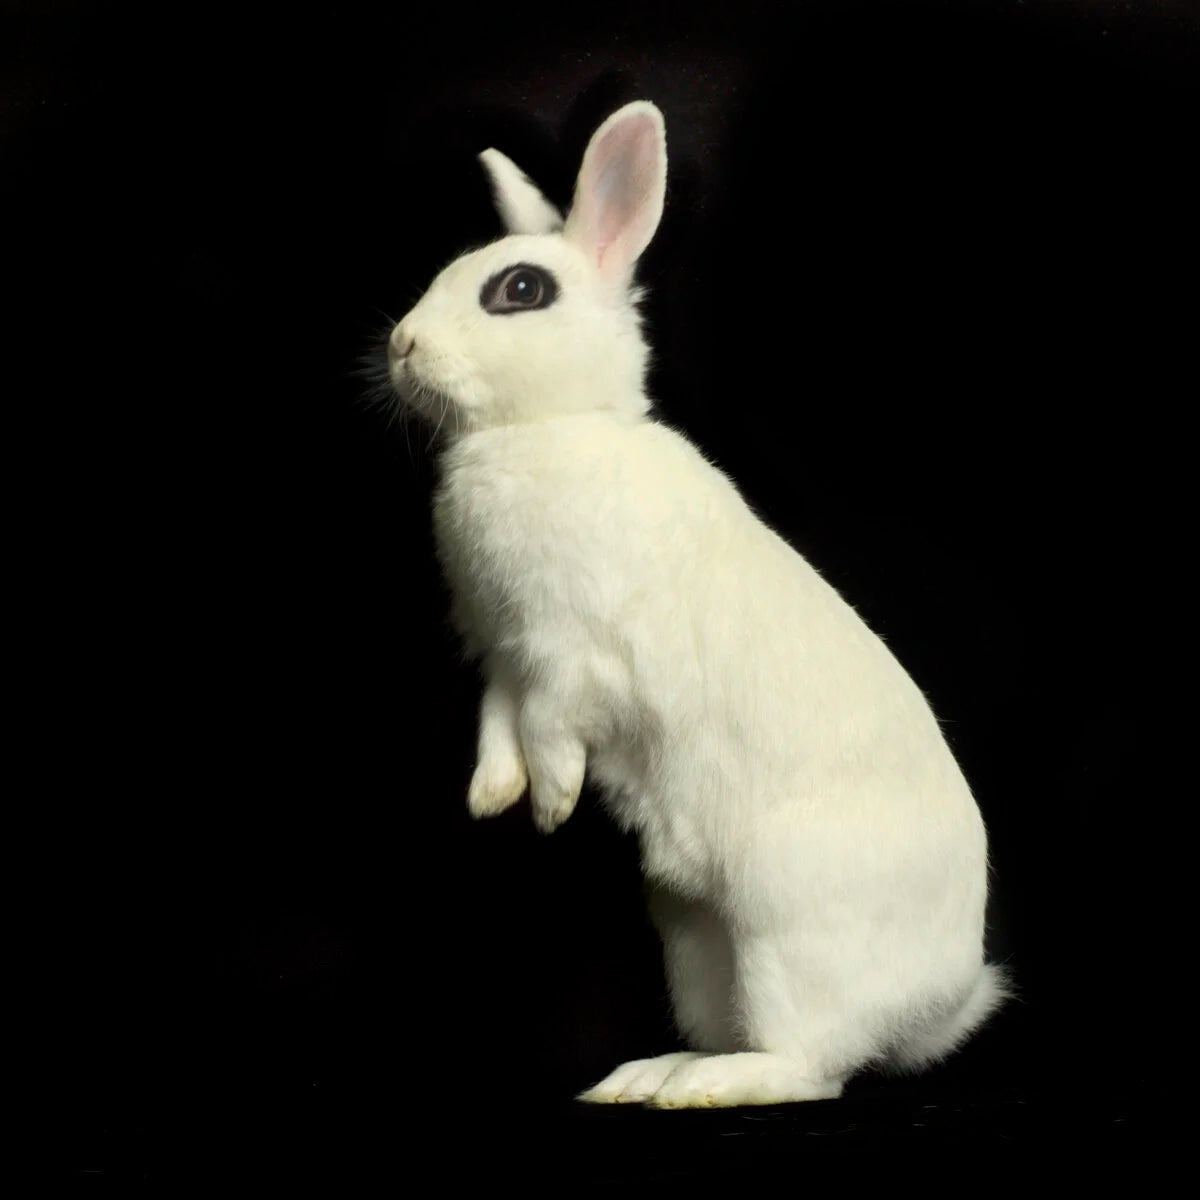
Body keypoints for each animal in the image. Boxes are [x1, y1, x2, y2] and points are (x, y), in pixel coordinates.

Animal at [385, 101, 1008, 1107]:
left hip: (783, 930)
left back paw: (698, 1089)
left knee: (811, 1069)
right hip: (696, 946)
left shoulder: (572, 657)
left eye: (518, 289)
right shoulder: (503, 654)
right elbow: (497, 724)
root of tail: (940, 1003)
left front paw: (552, 804)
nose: (401, 345)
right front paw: (492, 798)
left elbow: (549, 724)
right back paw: (649, 1075)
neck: (546, 428)